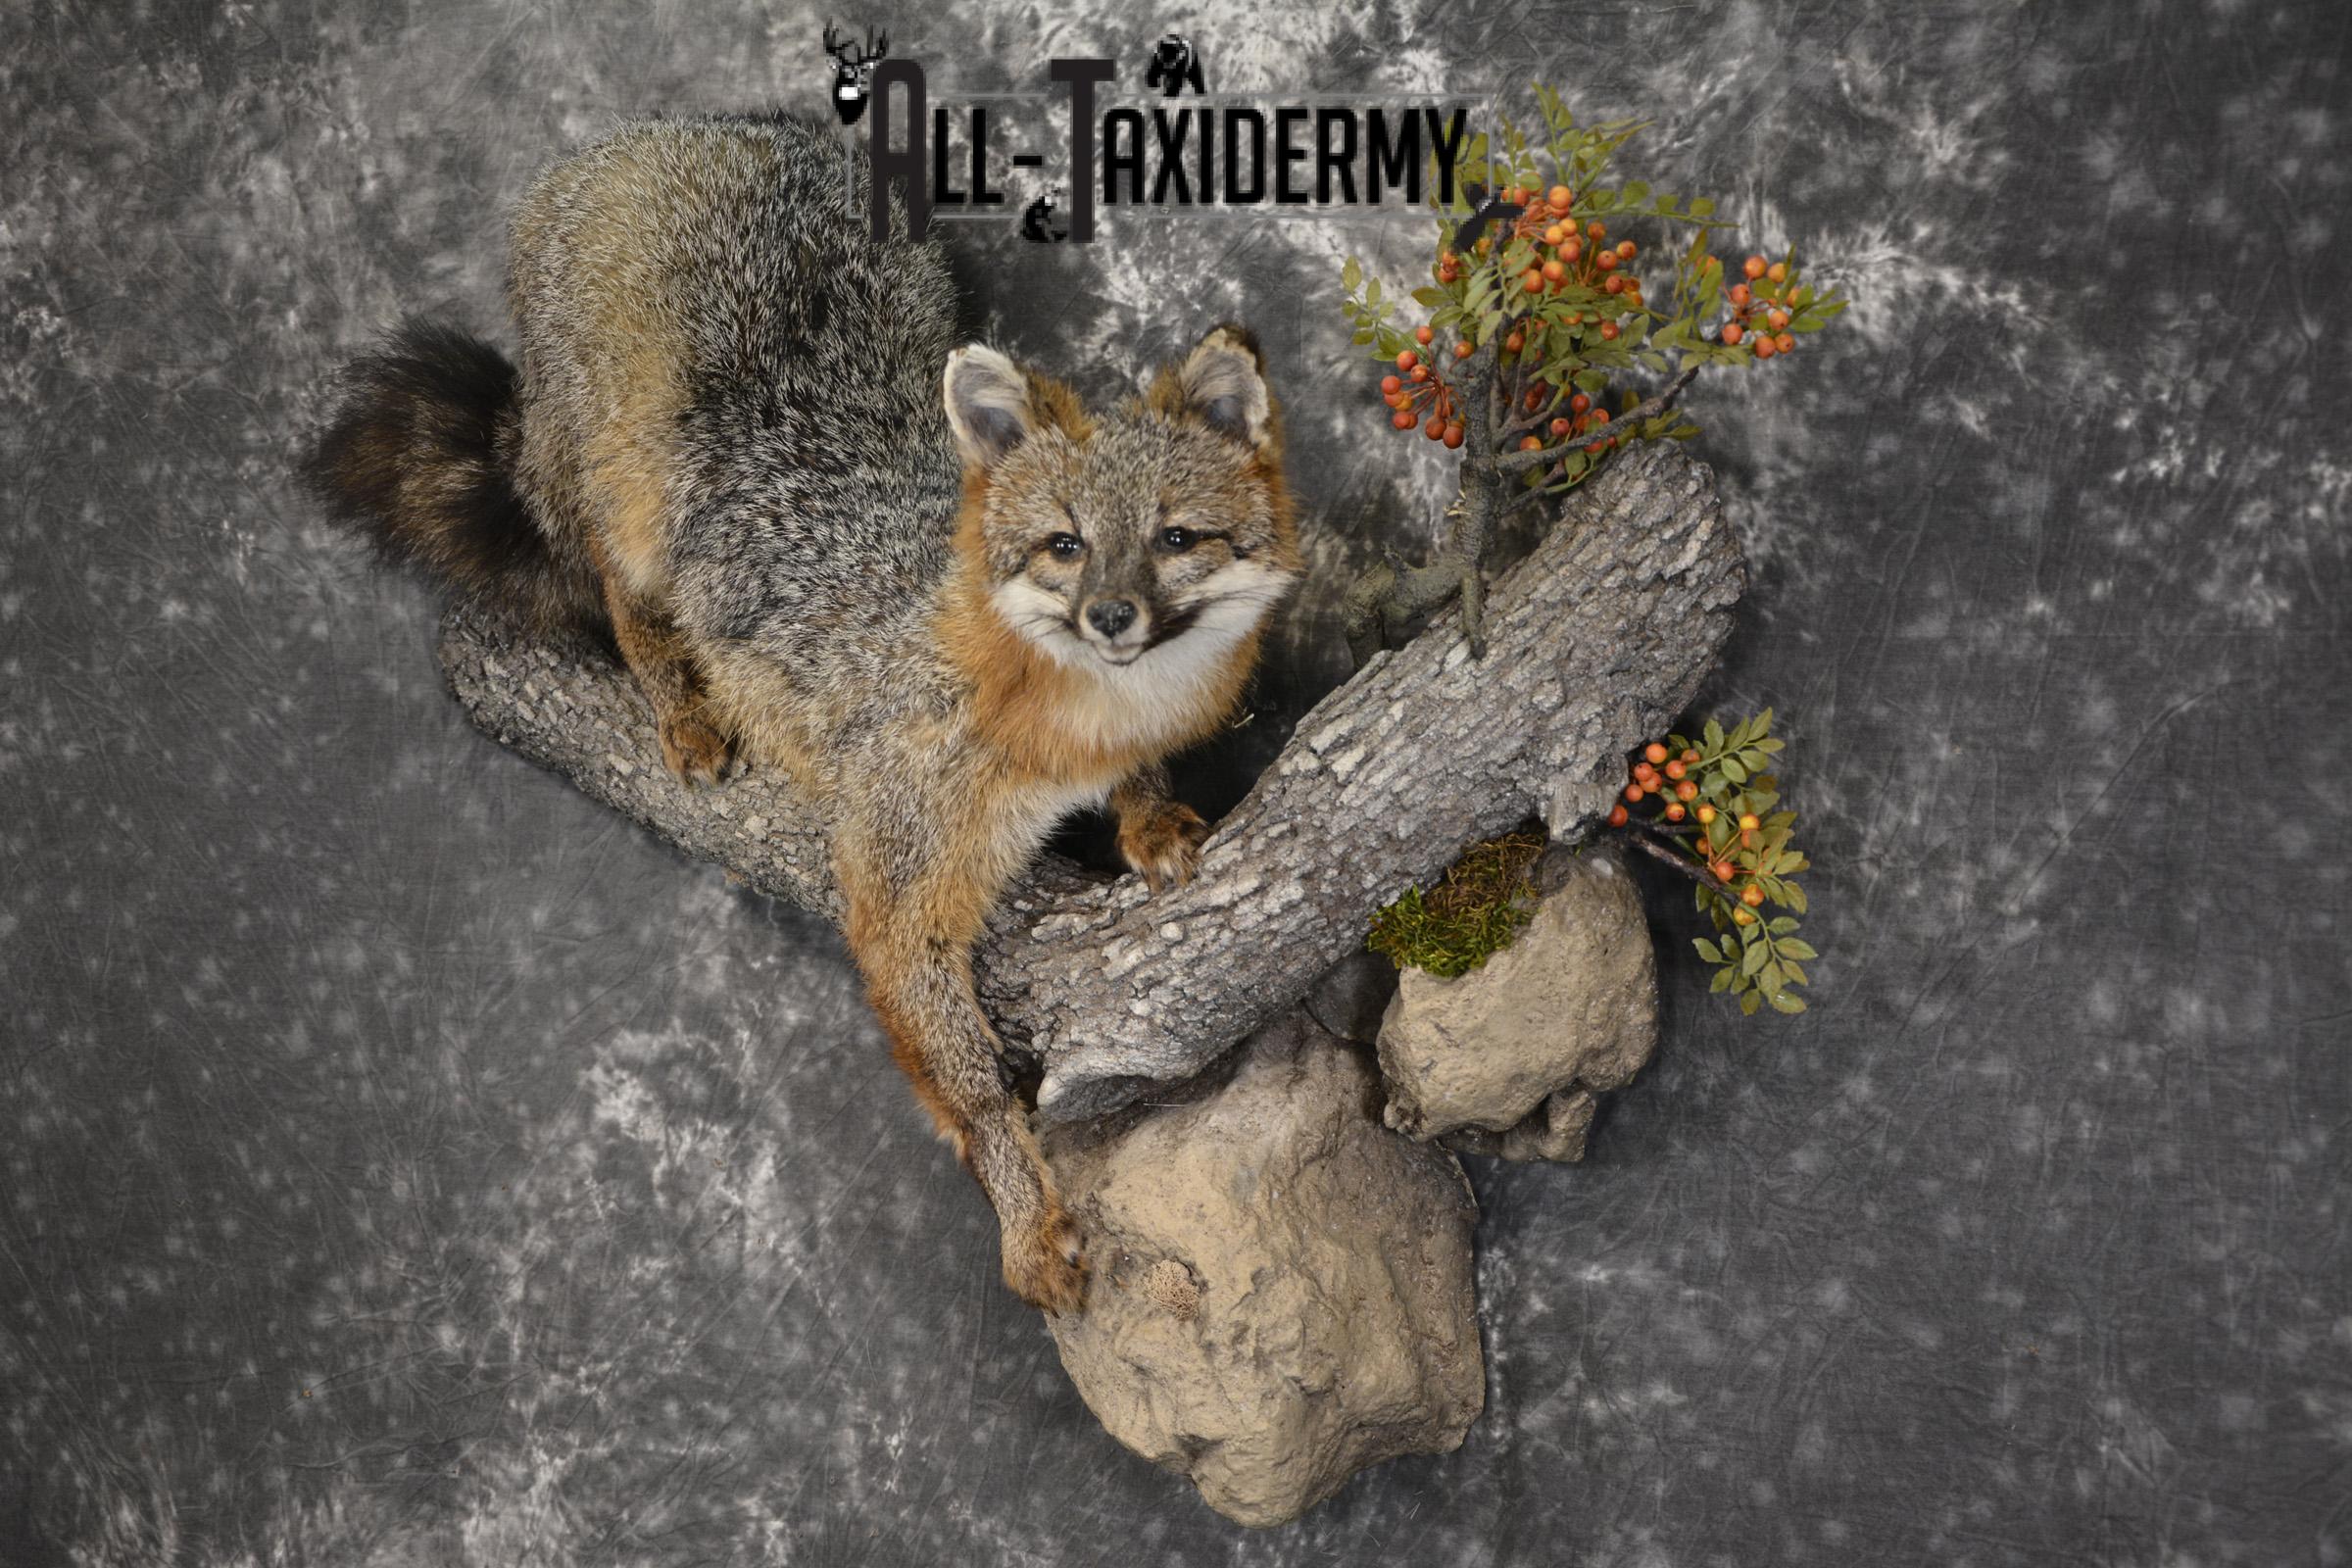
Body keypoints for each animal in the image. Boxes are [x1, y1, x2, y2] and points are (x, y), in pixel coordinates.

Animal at [304, 111, 1302, 1314]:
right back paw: (681, 703)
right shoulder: (894, 886)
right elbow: (972, 1088)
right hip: (628, 492)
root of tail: (658, 131)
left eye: (1174, 538)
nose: (1111, 616)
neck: (1071, 722)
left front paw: (1148, 812)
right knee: (615, 580)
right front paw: (1025, 1219)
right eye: (1063, 545)